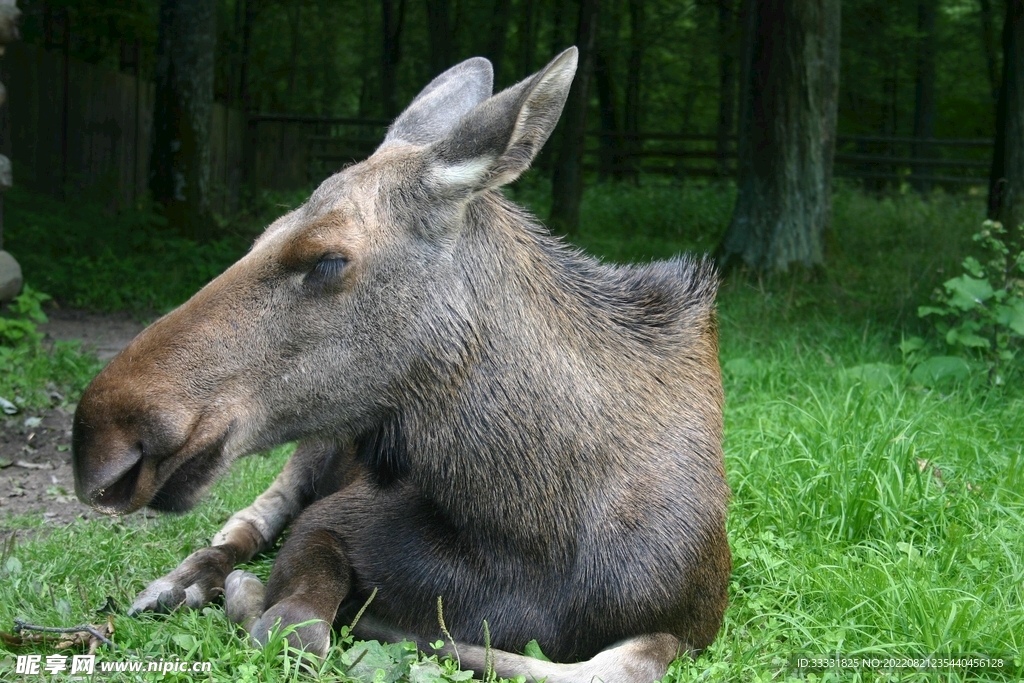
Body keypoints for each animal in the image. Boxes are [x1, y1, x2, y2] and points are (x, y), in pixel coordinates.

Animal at [72, 48, 731, 682]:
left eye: (327, 258)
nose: (99, 442)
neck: (524, 528)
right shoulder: (328, 519)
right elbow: (294, 625)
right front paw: (265, 597)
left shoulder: (692, 623)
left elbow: (615, 666)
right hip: (311, 452)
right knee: (244, 523)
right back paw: (179, 583)